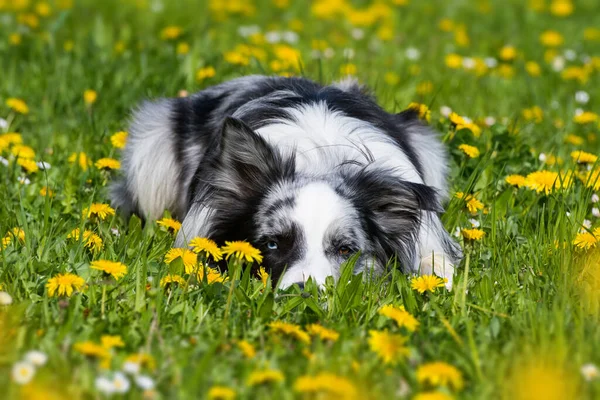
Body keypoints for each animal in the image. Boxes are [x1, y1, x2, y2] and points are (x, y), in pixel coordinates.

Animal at [110, 75, 462, 288]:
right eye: (272, 243)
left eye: (345, 250)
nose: (304, 293)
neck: (320, 162)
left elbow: (437, 265)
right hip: (151, 146)